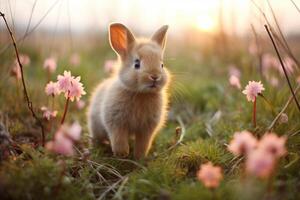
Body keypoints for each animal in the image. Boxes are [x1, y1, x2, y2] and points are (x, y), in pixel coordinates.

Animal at [88, 22, 170, 159]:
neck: (141, 93)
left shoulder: (147, 128)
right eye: (137, 64)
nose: (154, 76)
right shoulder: (116, 122)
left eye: (162, 65)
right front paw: (122, 153)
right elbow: (118, 138)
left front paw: (139, 156)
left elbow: (143, 142)